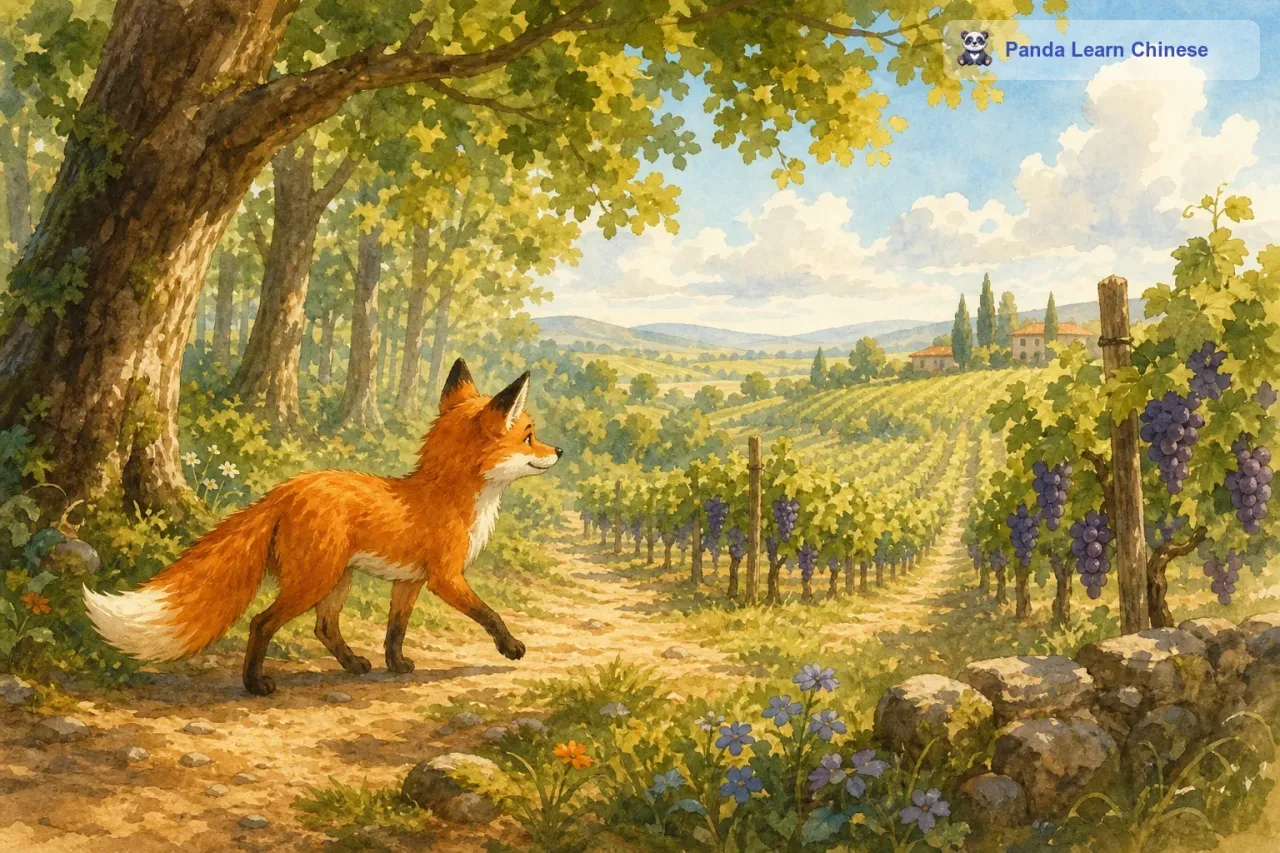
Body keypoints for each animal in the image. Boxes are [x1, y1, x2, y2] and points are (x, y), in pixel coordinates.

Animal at [83, 359, 562, 696]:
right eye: (528, 436)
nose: (559, 450)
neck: (445, 495)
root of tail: (284, 489)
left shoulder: (410, 581)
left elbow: (396, 630)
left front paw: (397, 665)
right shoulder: (446, 578)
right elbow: (490, 613)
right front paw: (510, 647)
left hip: (337, 579)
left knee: (324, 628)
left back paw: (353, 665)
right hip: (316, 578)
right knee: (262, 622)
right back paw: (256, 685)